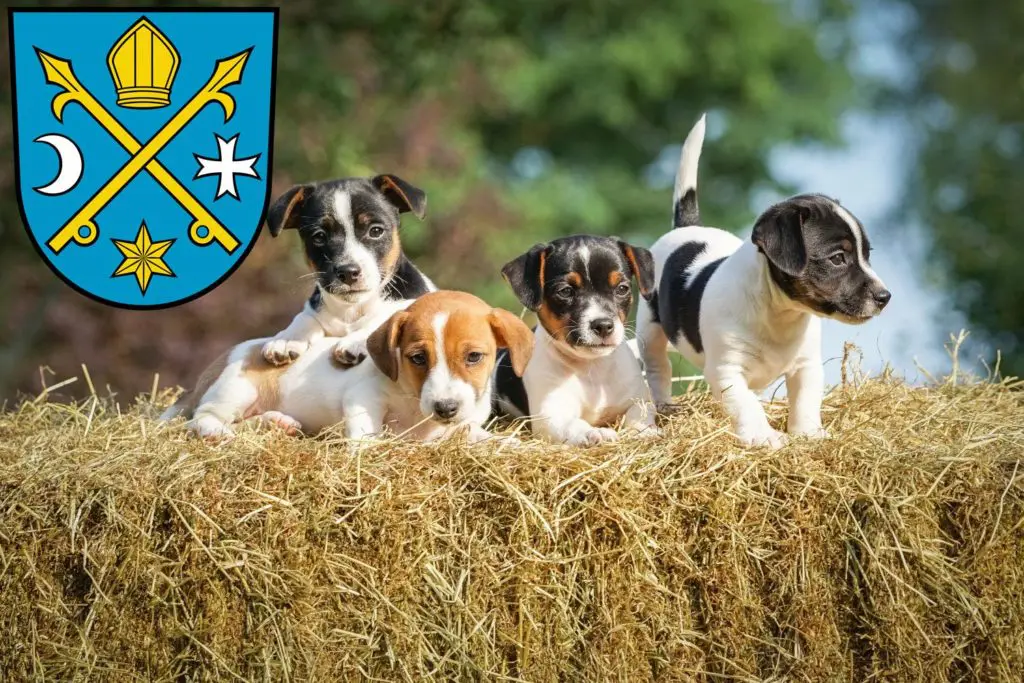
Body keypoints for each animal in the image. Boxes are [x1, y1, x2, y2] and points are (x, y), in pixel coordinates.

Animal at [162, 290, 532, 444]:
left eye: (474, 357)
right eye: (417, 358)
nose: (445, 408)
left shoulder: (465, 428)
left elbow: (488, 439)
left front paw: (515, 445)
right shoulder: (362, 397)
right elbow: (365, 434)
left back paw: (277, 423)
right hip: (235, 389)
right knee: (203, 419)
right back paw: (218, 432)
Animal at [260, 176, 436, 366]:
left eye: (376, 231)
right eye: (319, 236)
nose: (348, 272)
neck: (352, 310)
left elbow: (384, 318)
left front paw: (356, 340)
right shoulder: (315, 310)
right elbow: (304, 317)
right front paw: (287, 338)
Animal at [497, 236, 663, 448]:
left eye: (622, 288)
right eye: (565, 291)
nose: (603, 325)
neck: (592, 368)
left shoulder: (639, 399)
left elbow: (637, 415)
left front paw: (645, 431)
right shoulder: (551, 415)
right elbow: (573, 424)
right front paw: (594, 433)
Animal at [634, 115, 892, 450]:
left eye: (867, 254)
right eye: (838, 258)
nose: (885, 297)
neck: (780, 312)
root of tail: (686, 227)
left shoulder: (807, 366)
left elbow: (806, 402)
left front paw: (809, 433)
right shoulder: (726, 371)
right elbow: (745, 405)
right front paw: (763, 436)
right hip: (650, 330)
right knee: (658, 370)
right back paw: (663, 406)